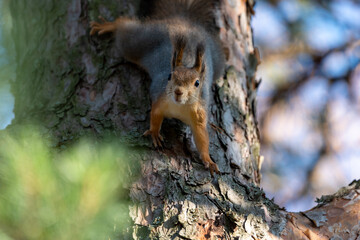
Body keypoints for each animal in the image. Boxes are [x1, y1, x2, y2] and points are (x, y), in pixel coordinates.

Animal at [89, 0, 225, 176]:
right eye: (170, 76)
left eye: (197, 83)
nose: (178, 92)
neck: (179, 106)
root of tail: (183, 20)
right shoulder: (160, 99)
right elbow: (155, 115)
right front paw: (154, 133)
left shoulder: (199, 115)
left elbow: (202, 138)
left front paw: (208, 160)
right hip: (141, 40)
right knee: (125, 30)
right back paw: (109, 25)